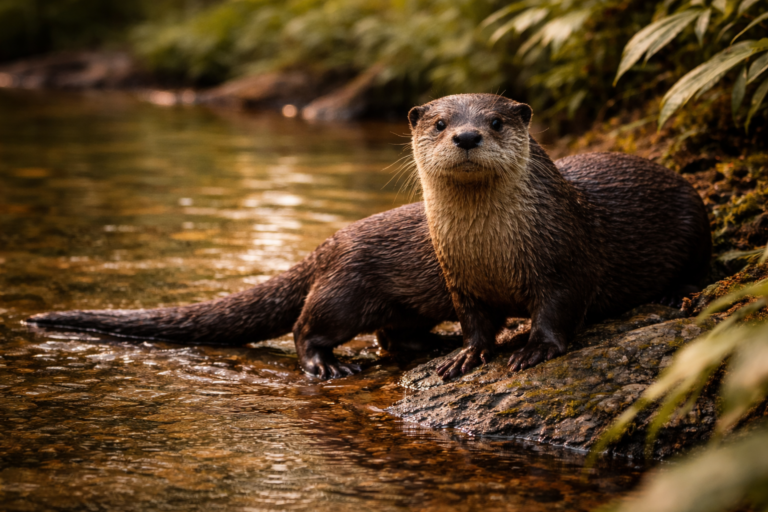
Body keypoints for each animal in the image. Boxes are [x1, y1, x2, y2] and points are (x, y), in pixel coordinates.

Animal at [408, 93, 711, 380]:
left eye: (496, 122)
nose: (467, 136)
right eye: (440, 124)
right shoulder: (460, 284)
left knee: (699, 270)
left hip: (695, 221)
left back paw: (675, 295)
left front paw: (536, 349)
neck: (489, 255)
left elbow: (557, 310)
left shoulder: (563, 263)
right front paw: (466, 355)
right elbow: (473, 323)